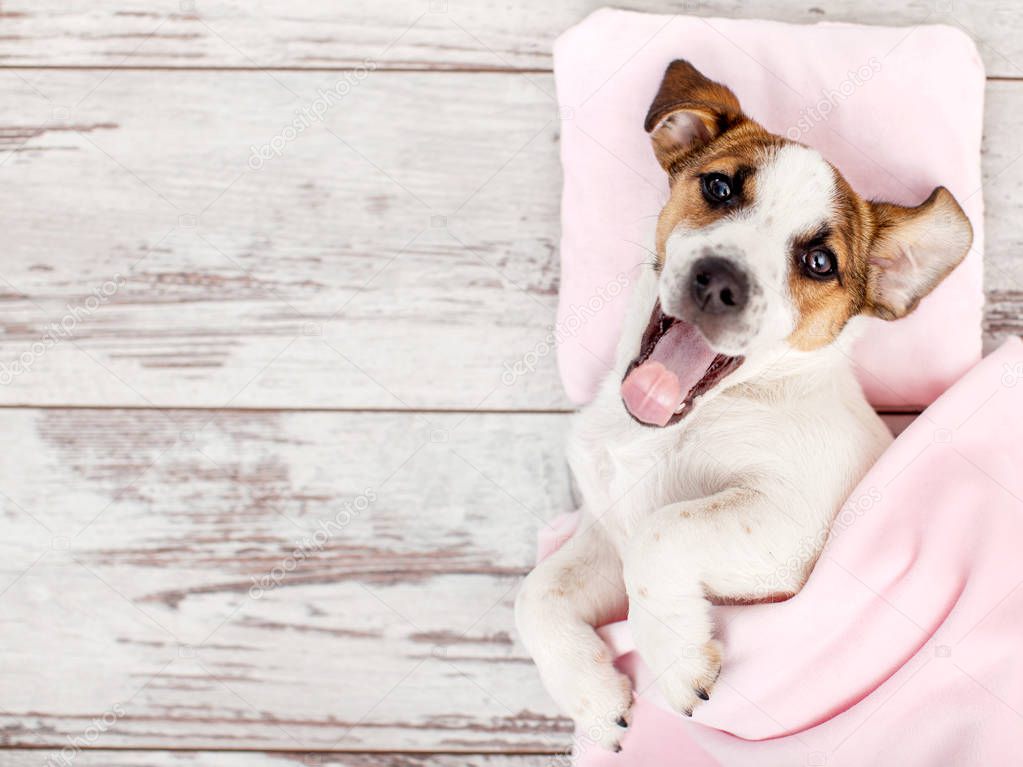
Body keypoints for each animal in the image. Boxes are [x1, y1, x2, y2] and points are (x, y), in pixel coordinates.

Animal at [515, 61, 969, 756]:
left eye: (819, 262)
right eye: (720, 187)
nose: (719, 282)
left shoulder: (793, 534)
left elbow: (665, 530)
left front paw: (674, 657)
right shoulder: (610, 530)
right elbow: (538, 592)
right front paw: (592, 699)